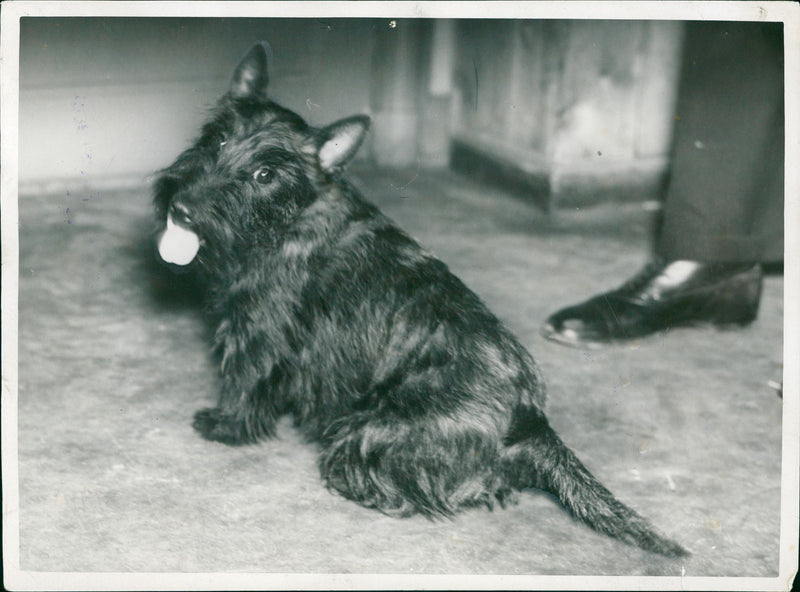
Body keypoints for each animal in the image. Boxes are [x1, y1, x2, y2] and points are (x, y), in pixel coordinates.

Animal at [155, 44, 688, 556]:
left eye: (265, 174)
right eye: (219, 139)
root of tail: (530, 421)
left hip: (370, 430)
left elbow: (245, 378)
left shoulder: (258, 326)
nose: (182, 209)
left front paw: (225, 425)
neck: (292, 214)